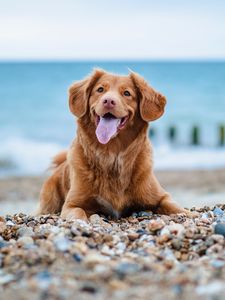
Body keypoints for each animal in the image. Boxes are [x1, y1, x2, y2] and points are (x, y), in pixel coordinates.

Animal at [38, 69, 190, 220]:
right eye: (100, 89)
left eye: (127, 93)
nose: (109, 101)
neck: (112, 156)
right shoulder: (72, 204)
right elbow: (78, 213)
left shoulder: (161, 197)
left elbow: (176, 207)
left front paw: (187, 213)